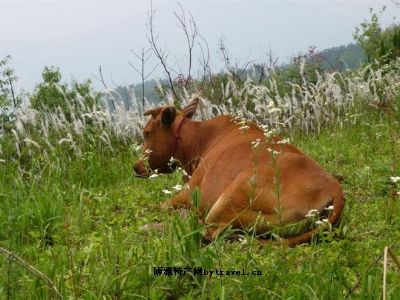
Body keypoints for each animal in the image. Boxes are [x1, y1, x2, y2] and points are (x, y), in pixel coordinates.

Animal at [134, 97, 344, 245]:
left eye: (146, 132)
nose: (136, 166)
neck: (198, 141)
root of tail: (335, 188)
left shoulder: (188, 191)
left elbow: (155, 206)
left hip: (229, 198)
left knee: (211, 231)